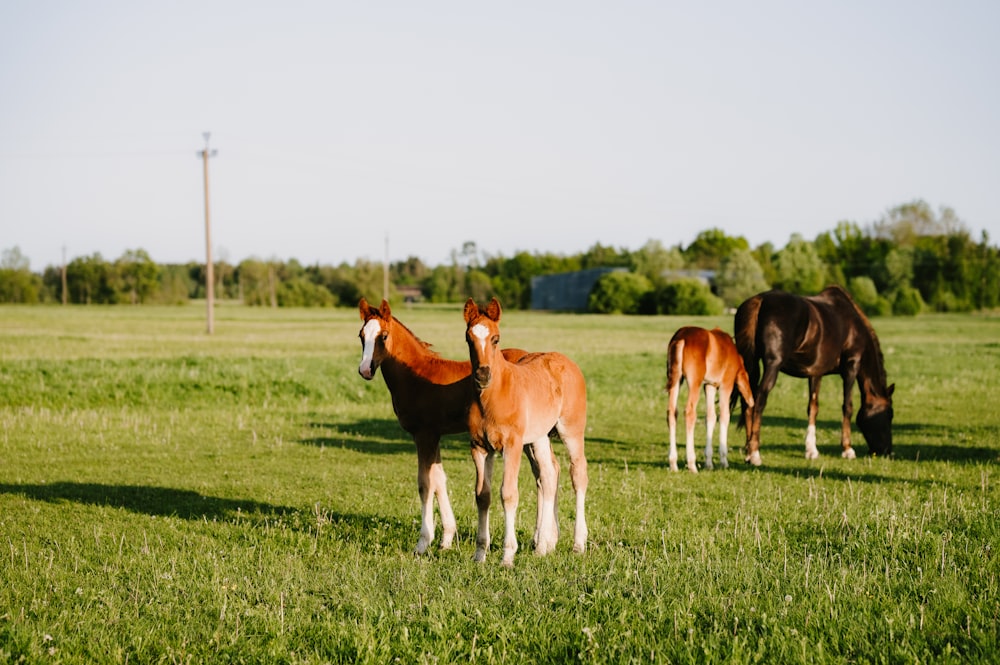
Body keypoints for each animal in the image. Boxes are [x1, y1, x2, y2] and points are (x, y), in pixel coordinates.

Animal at [356, 298, 556, 552]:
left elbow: (425, 484)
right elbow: (439, 480)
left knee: (547, 474)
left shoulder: (424, 435)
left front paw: (423, 542)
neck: (415, 375)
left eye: (383, 336)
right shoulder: (434, 435)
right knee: (545, 474)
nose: (365, 369)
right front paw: (447, 538)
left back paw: (544, 541)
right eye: (361, 335)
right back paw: (544, 539)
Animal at [464, 298, 588, 568]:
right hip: (538, 438)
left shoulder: (511, 445)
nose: (482, 375)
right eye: (468, 338)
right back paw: (543, 546)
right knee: (549, 475)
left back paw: (578, 544)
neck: (493, 397)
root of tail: (567, 362)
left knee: (578, 475)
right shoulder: (479, 448)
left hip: (571, 431)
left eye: (496, 338)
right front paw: (480, 554)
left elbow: (508, 494)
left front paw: (507, 556)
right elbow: (482, 495)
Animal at [668, 326, 752, 472]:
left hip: (676, 379)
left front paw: (708, 462)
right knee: (689, 412)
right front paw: (724, 461)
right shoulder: (725, 385)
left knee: (672, 412)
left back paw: (673, 463)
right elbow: (724, 416)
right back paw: (692, 464)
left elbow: (710, 417)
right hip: (694, 383)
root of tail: (681, 338)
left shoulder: (709, 386)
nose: (751, 401)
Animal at [732, 282, 896, 464]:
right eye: (889, 414)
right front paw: (847, 449)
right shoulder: (851, 367)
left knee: (748, 400)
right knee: (759, 400)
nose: (887, 452)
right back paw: (754, 453)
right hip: (773, 365)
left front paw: (811, 450)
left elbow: (813, 407)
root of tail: (760, 300)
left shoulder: (816, 372)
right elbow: (847, 406)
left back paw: (748, 452)